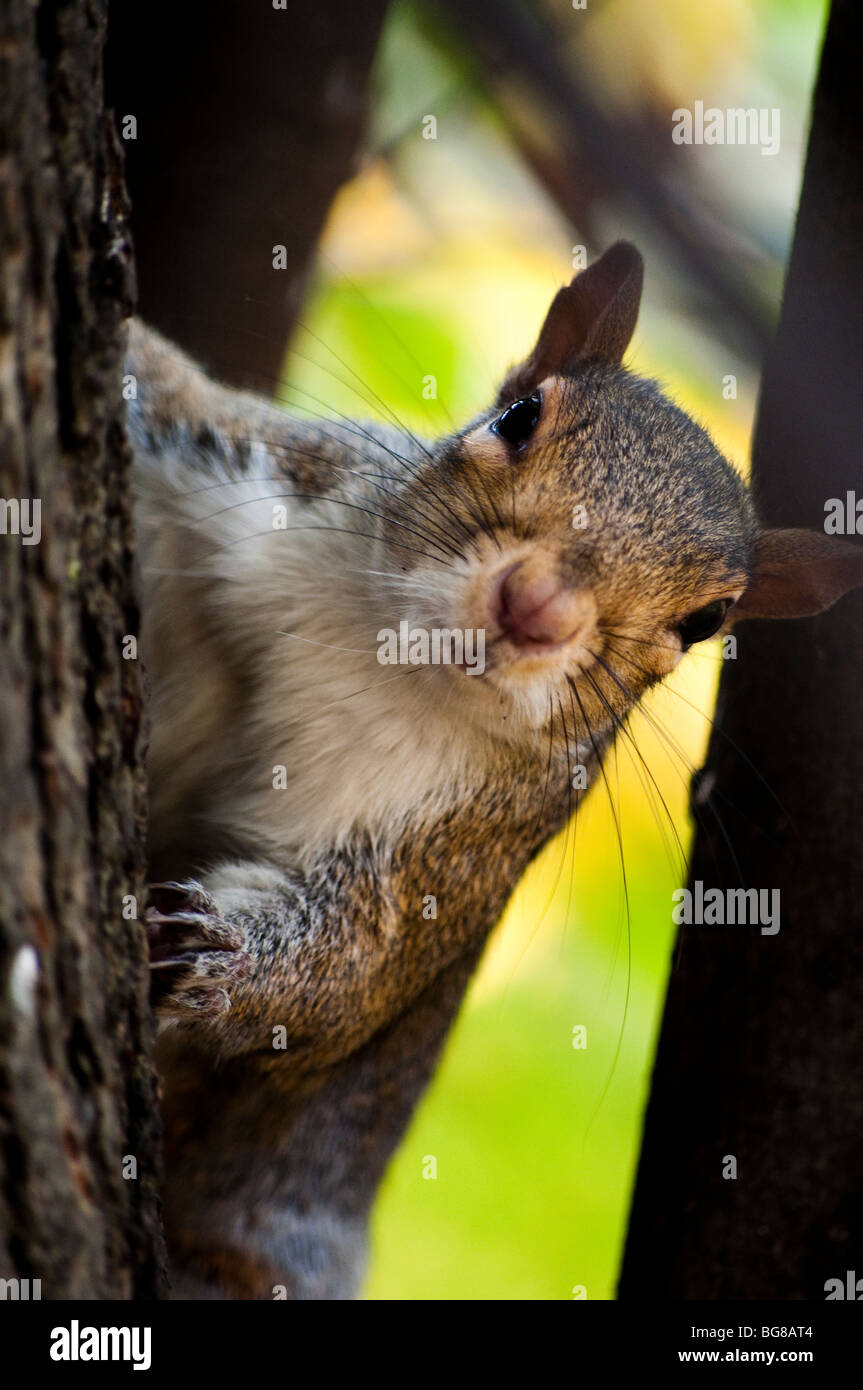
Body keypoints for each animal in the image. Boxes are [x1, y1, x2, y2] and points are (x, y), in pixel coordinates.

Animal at [126, 244, 861, 1295]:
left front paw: (208, 951)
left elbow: (346, 971)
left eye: (705, 622)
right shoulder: (269, 478)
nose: (538, 605)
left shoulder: (451, 850)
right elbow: (174, 395)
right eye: (519, 415)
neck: (397, 658)